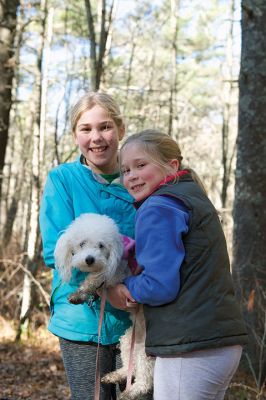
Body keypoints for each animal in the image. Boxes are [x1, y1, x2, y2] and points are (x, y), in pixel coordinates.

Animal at [53, 214, 154, 400]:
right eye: (82, 243)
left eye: (101, 245)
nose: (90, 259)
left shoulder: (115, 273)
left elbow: (93, 278)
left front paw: (80, 293)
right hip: (128, 340)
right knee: (130, 368)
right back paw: (113, 376)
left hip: (146, 352)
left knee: (145, 382)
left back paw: (129, 393)